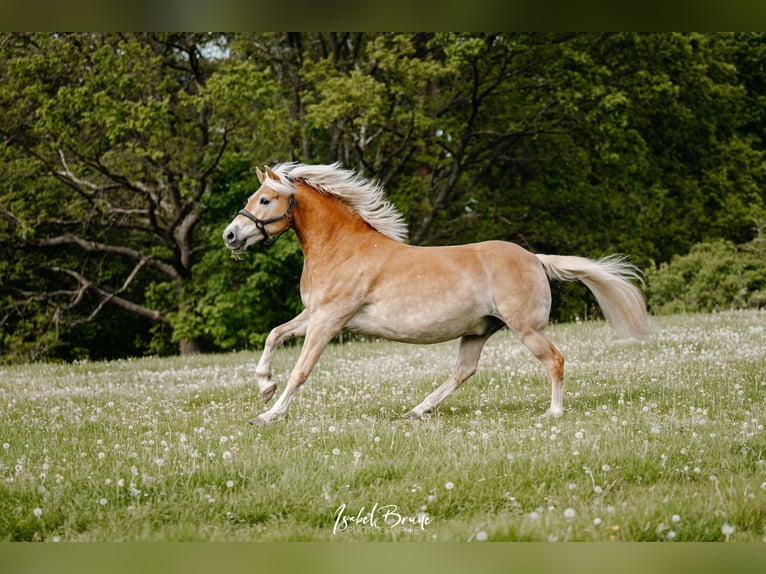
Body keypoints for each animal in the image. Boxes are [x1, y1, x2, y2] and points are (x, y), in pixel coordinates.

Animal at [223, 162, 652, 426]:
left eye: (265, 199)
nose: (230, 235)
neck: (342, 248)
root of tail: (534, 258)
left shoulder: (329, 320)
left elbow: (301, 370)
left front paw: (268, 416)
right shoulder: (315, 315)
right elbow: (274, 334)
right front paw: (264, 387)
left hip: (526, 329)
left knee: (555, 361)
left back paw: (553, 412)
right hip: (479, 330)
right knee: (464, 371)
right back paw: (418, 410)